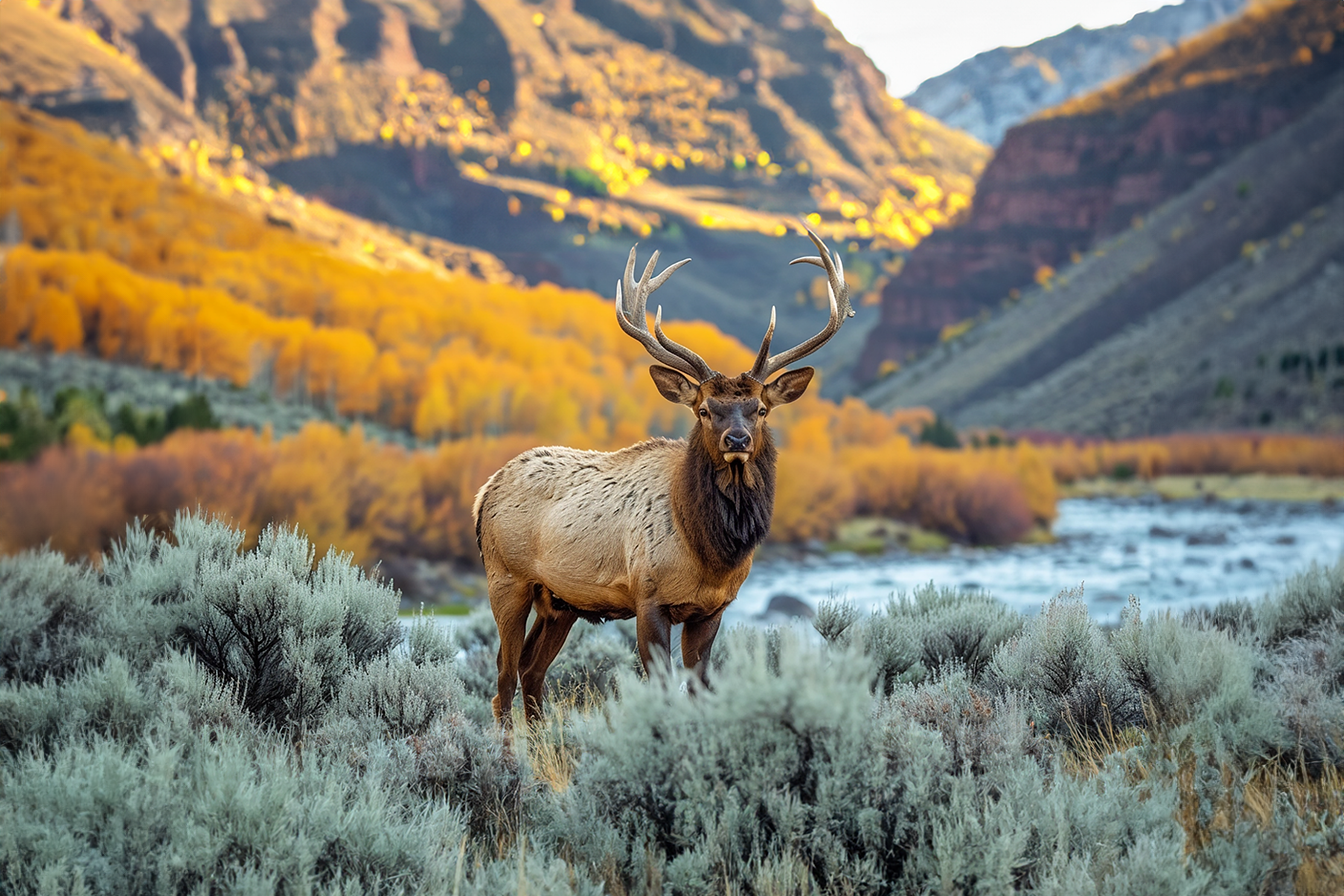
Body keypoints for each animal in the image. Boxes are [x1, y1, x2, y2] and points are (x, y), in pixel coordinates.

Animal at [473, 228, 849, 725]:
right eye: (704, 409)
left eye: (761, 409)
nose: (736, 439)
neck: (710, 551)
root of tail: (485, 491)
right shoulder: (647, 598)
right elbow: (663, 689)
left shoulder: (712, 608)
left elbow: (701, 687)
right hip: (506, 578)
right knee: (503, 678)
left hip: (559, 601)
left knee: (532, 671)